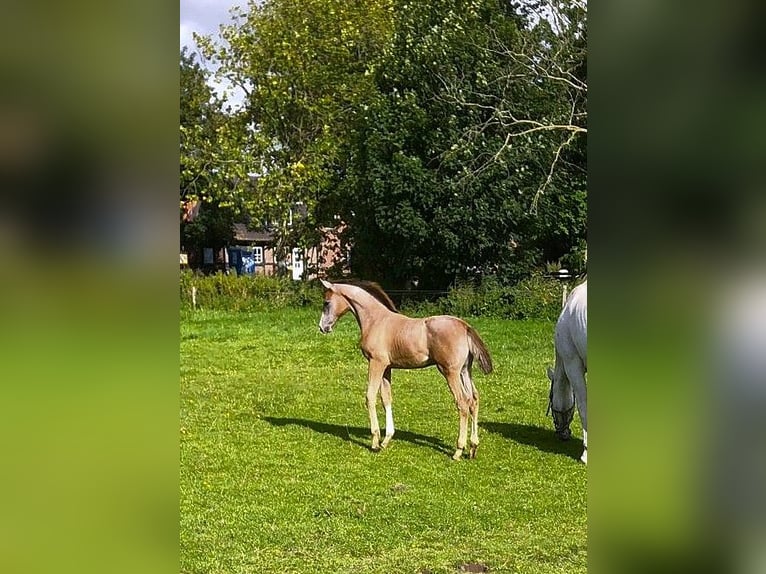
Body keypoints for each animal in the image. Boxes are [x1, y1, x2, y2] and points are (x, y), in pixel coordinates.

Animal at [318, 279, 493, 460]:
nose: (322, 327)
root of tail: (465, 326)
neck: (376, 320)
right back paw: (473, 447)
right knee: (474, 399)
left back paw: (458, 450)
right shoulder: (387, 368)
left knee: (463, 402)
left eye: (326, 302)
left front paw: (375, 442)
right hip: (465, 371)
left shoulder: (376, 363)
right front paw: (386, 440)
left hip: (449, 372)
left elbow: (370, 397)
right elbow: (386, 398)